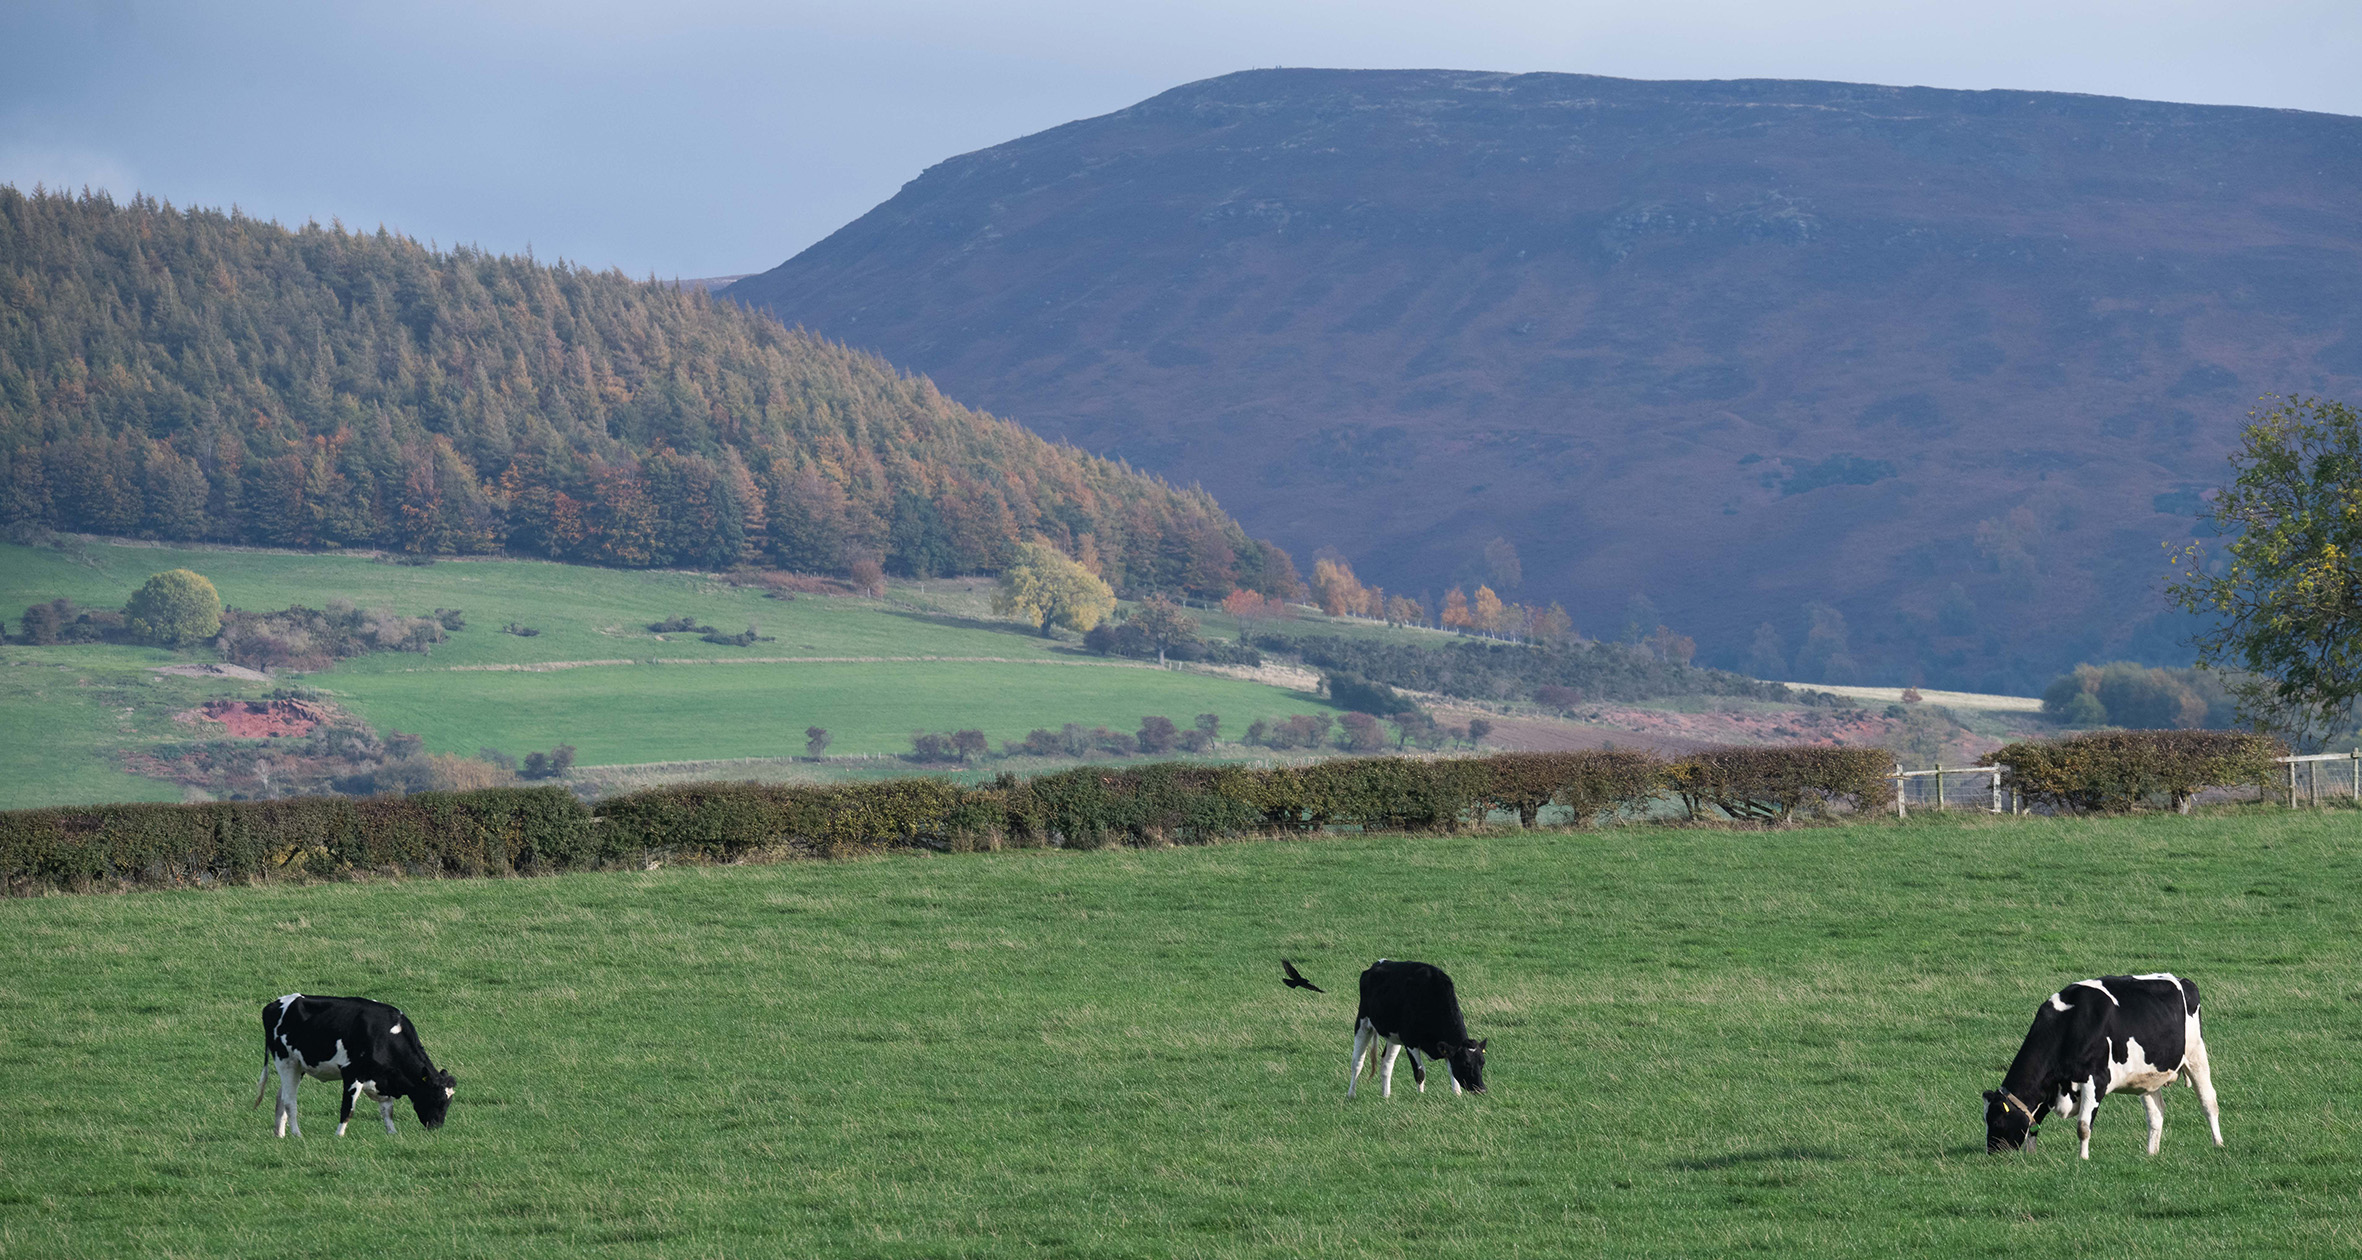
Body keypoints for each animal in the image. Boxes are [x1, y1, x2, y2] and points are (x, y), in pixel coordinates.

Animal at [251, 992, 453, 1139]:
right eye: (436, 1098)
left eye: (449, 1101)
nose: (436, 1126)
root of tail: (273, 1004)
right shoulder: (352, 1072)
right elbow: (348, 1108)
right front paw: (339, 1135)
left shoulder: (383, 1079)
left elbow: (387, 1110)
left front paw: (392, 1133)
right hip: (286, 1061)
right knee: (289, 1100)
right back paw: (297, 1134)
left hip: (298, 1065)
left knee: (280, 1096)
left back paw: (280, 1134)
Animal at [1351, 959, 1473, 1096]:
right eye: (1466, 1065)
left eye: (1481, 1062)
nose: (1479, 1089)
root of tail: (1378, 963)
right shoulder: (1410, 1041)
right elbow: (1420, 1073)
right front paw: (1420, 1096)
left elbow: (1451, 1070)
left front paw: (1457, 1094)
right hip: (1363, 1024)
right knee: (1357, 1062)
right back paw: (1351, 1095)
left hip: (1393, 1036)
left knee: (1386, 1063)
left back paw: (1386, 1096)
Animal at [1984, 973, 2220, 1158]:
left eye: (1997, 1122)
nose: (1992, 1152)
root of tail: (2183, 981)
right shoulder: (2049, 1087)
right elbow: (2035, 1122)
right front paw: (2031, 1155)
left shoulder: (2095, 1080)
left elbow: (2083, 1126)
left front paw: (2083, 1158)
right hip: (2148, 1077)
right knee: (2156, 1114)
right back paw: (2151, 1153)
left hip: (2196, 1056)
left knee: (2208, 1101)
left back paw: (2218, 1144)